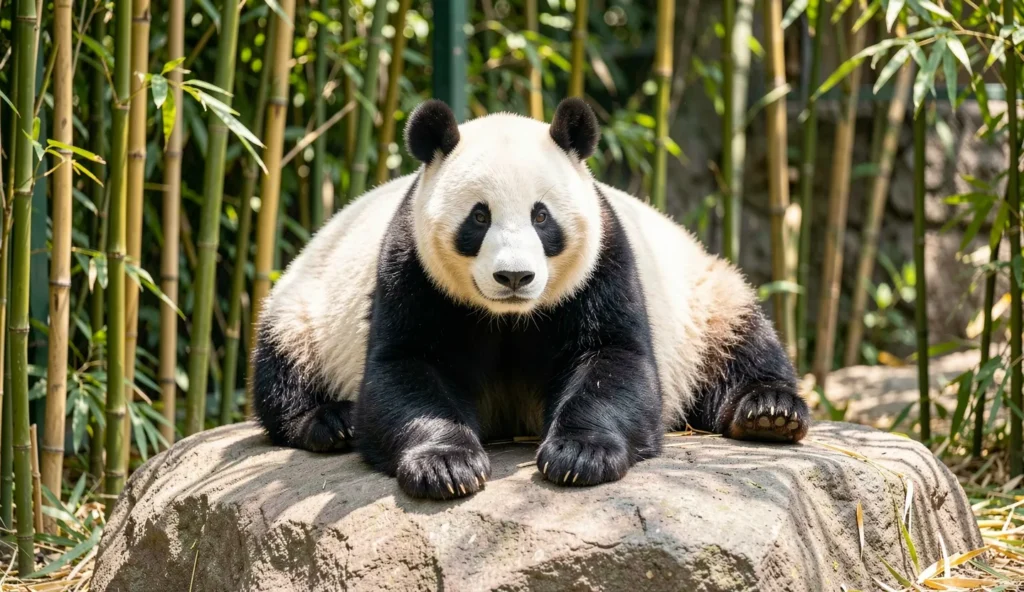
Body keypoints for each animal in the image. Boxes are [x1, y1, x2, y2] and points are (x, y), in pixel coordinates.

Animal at [251, 97, 809, 500]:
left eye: (542, 216)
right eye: (479, 217)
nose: (514, 276)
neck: (509, 318)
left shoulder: (604, 265)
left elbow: (614, 359)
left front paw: (580, 457)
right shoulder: (410, 271)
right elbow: (404, 368)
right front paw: (446, 465)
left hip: (699, 292)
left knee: (739, 334)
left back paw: (769, 413)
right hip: (303, 298)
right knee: (283, 365)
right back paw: (329, 421)